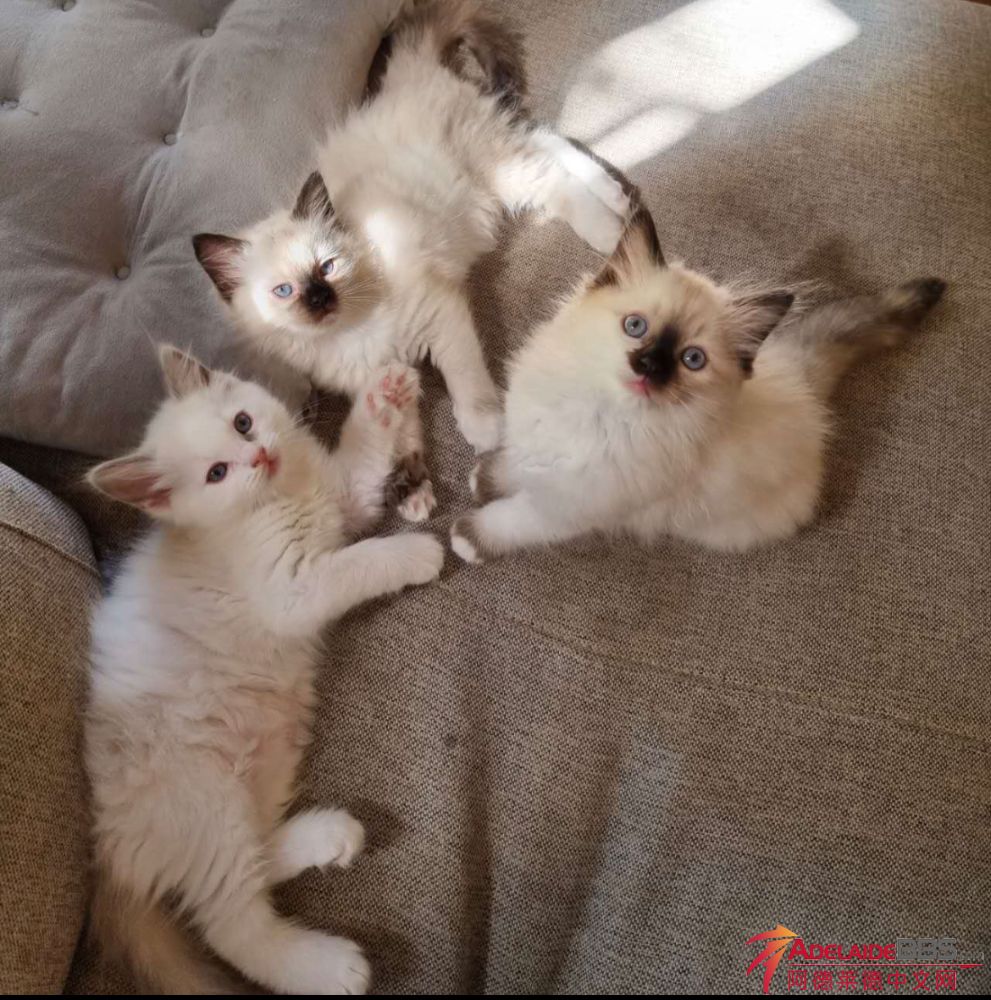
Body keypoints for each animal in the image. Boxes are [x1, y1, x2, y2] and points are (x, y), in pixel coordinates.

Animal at [85, 345, 444, 994]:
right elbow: (360, 561)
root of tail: (108, 849)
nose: (260, 456)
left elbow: (363, 457)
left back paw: (331, 837)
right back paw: (334, 966)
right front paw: (415, 553)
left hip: (270, 760)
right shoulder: (292, 590)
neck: (280, 497)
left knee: (255, 859)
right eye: (217, 474)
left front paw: (386, 393)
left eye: (243, 423)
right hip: (205, 800)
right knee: (231, 926)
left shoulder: (345, 499)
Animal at [192, 0, 630, 525]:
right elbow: (397, 435)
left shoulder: (440, 316)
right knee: (547, 140)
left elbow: (466, 383)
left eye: (327, 267)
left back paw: (610, 226)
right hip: (499, 158)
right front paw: (412, 493)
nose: (320, 299)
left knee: (555, 179)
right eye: (284, 292)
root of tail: (402, 78)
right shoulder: (375, 379)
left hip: (499, 171)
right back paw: (618, 195)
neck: (349, 335)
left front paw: (486, 430)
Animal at [450, 203, 946, 562]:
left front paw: (467, 537)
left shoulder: (563, 508)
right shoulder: (536, 449)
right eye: (634, 326)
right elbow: (511, 467)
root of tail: (801, 376)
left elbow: (508, 518)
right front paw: (485, 478)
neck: (596, 411)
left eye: (692, 359)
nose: (649, 366)